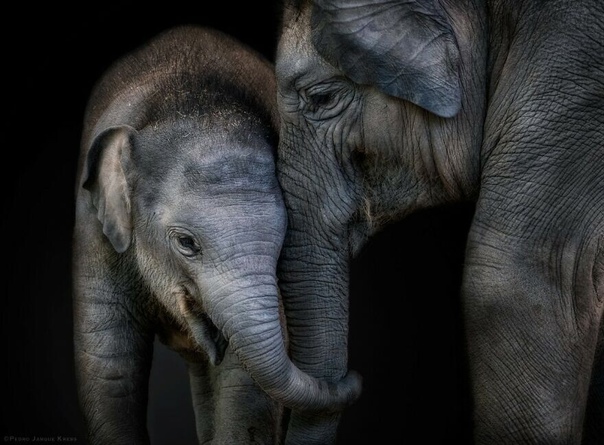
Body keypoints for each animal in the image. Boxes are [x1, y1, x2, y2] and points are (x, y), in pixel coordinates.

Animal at [73, 25, 350, 444]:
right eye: (186, 243)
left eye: (282, 244)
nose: (350, 382)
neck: (190, 102)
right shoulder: (94, 230)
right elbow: (110, 369)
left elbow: (242, 385)